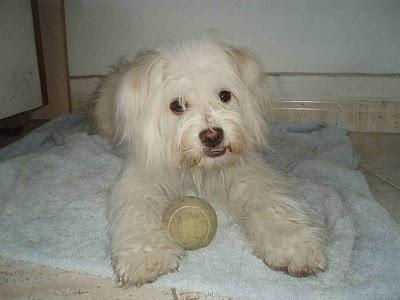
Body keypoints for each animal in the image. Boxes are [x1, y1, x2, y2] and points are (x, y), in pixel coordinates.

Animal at [94, 39, 328, 286]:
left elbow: (271, 203)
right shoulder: (143, 177)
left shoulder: (247, 172)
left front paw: (294, 246)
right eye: (177, 105)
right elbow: (139, 210)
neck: (199, 169)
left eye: (224, 95)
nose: (213, 136)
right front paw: (145, 256)